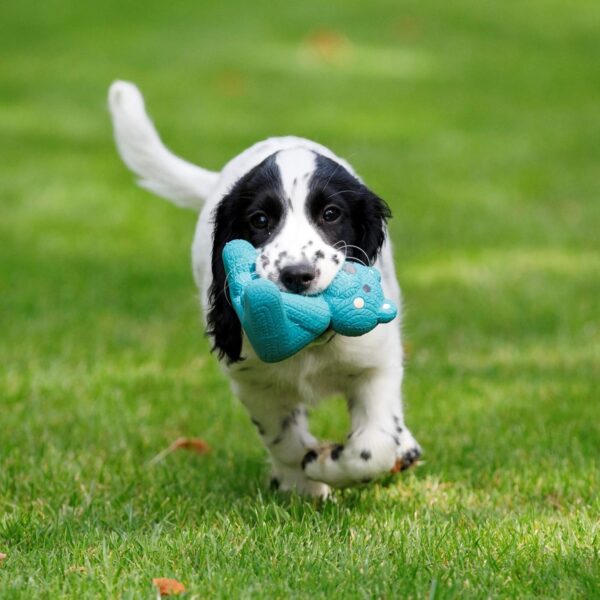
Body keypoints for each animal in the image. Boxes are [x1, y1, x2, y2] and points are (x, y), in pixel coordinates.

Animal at [111, 81, 422, 496]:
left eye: (331, 214)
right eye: (260, 220)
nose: (297, 274)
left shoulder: (375, 362)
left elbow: (371, 448)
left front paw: (324, 463)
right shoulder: (253, 382)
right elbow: (283, 438)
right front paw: (304, 479)